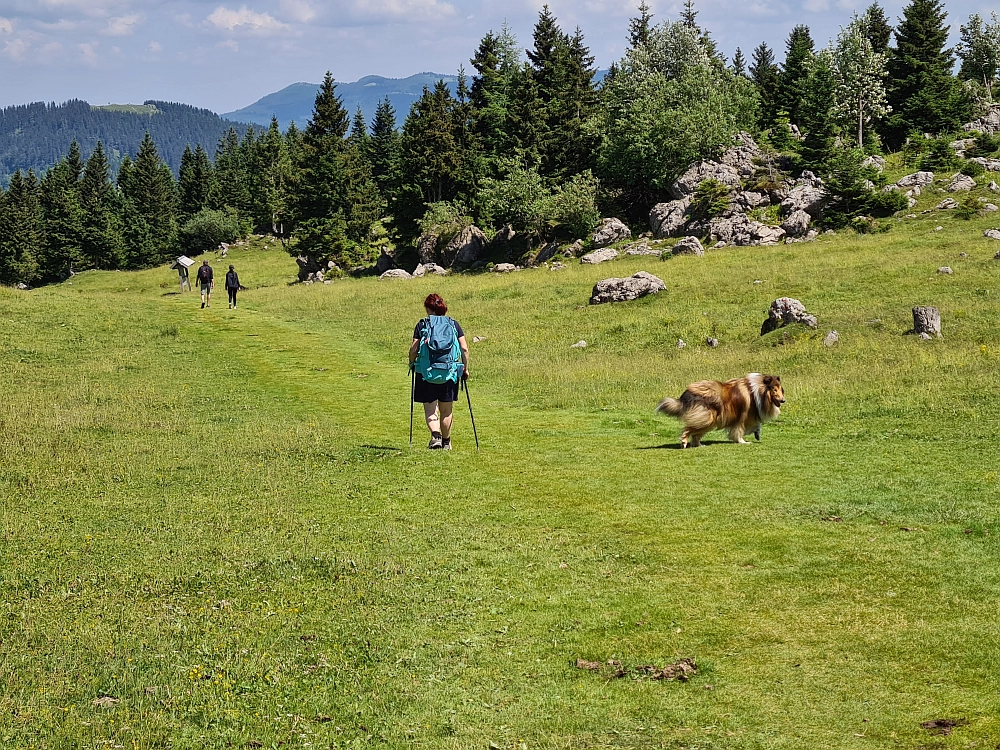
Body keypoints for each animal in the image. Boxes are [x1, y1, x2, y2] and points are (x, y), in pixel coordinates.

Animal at [656, 374, 788, 450]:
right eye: (774, 390)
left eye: (780, 389)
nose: (783, 400)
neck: (756, 391)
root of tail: (688, 392)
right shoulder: (742, 416)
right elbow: (739, 430)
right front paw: (742, 442)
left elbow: (756, 425)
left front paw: (757, 433)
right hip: (707, 417)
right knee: (689, 429)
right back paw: (684, 441)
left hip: (710, 420)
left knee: (696, 434)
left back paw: (699, 445)